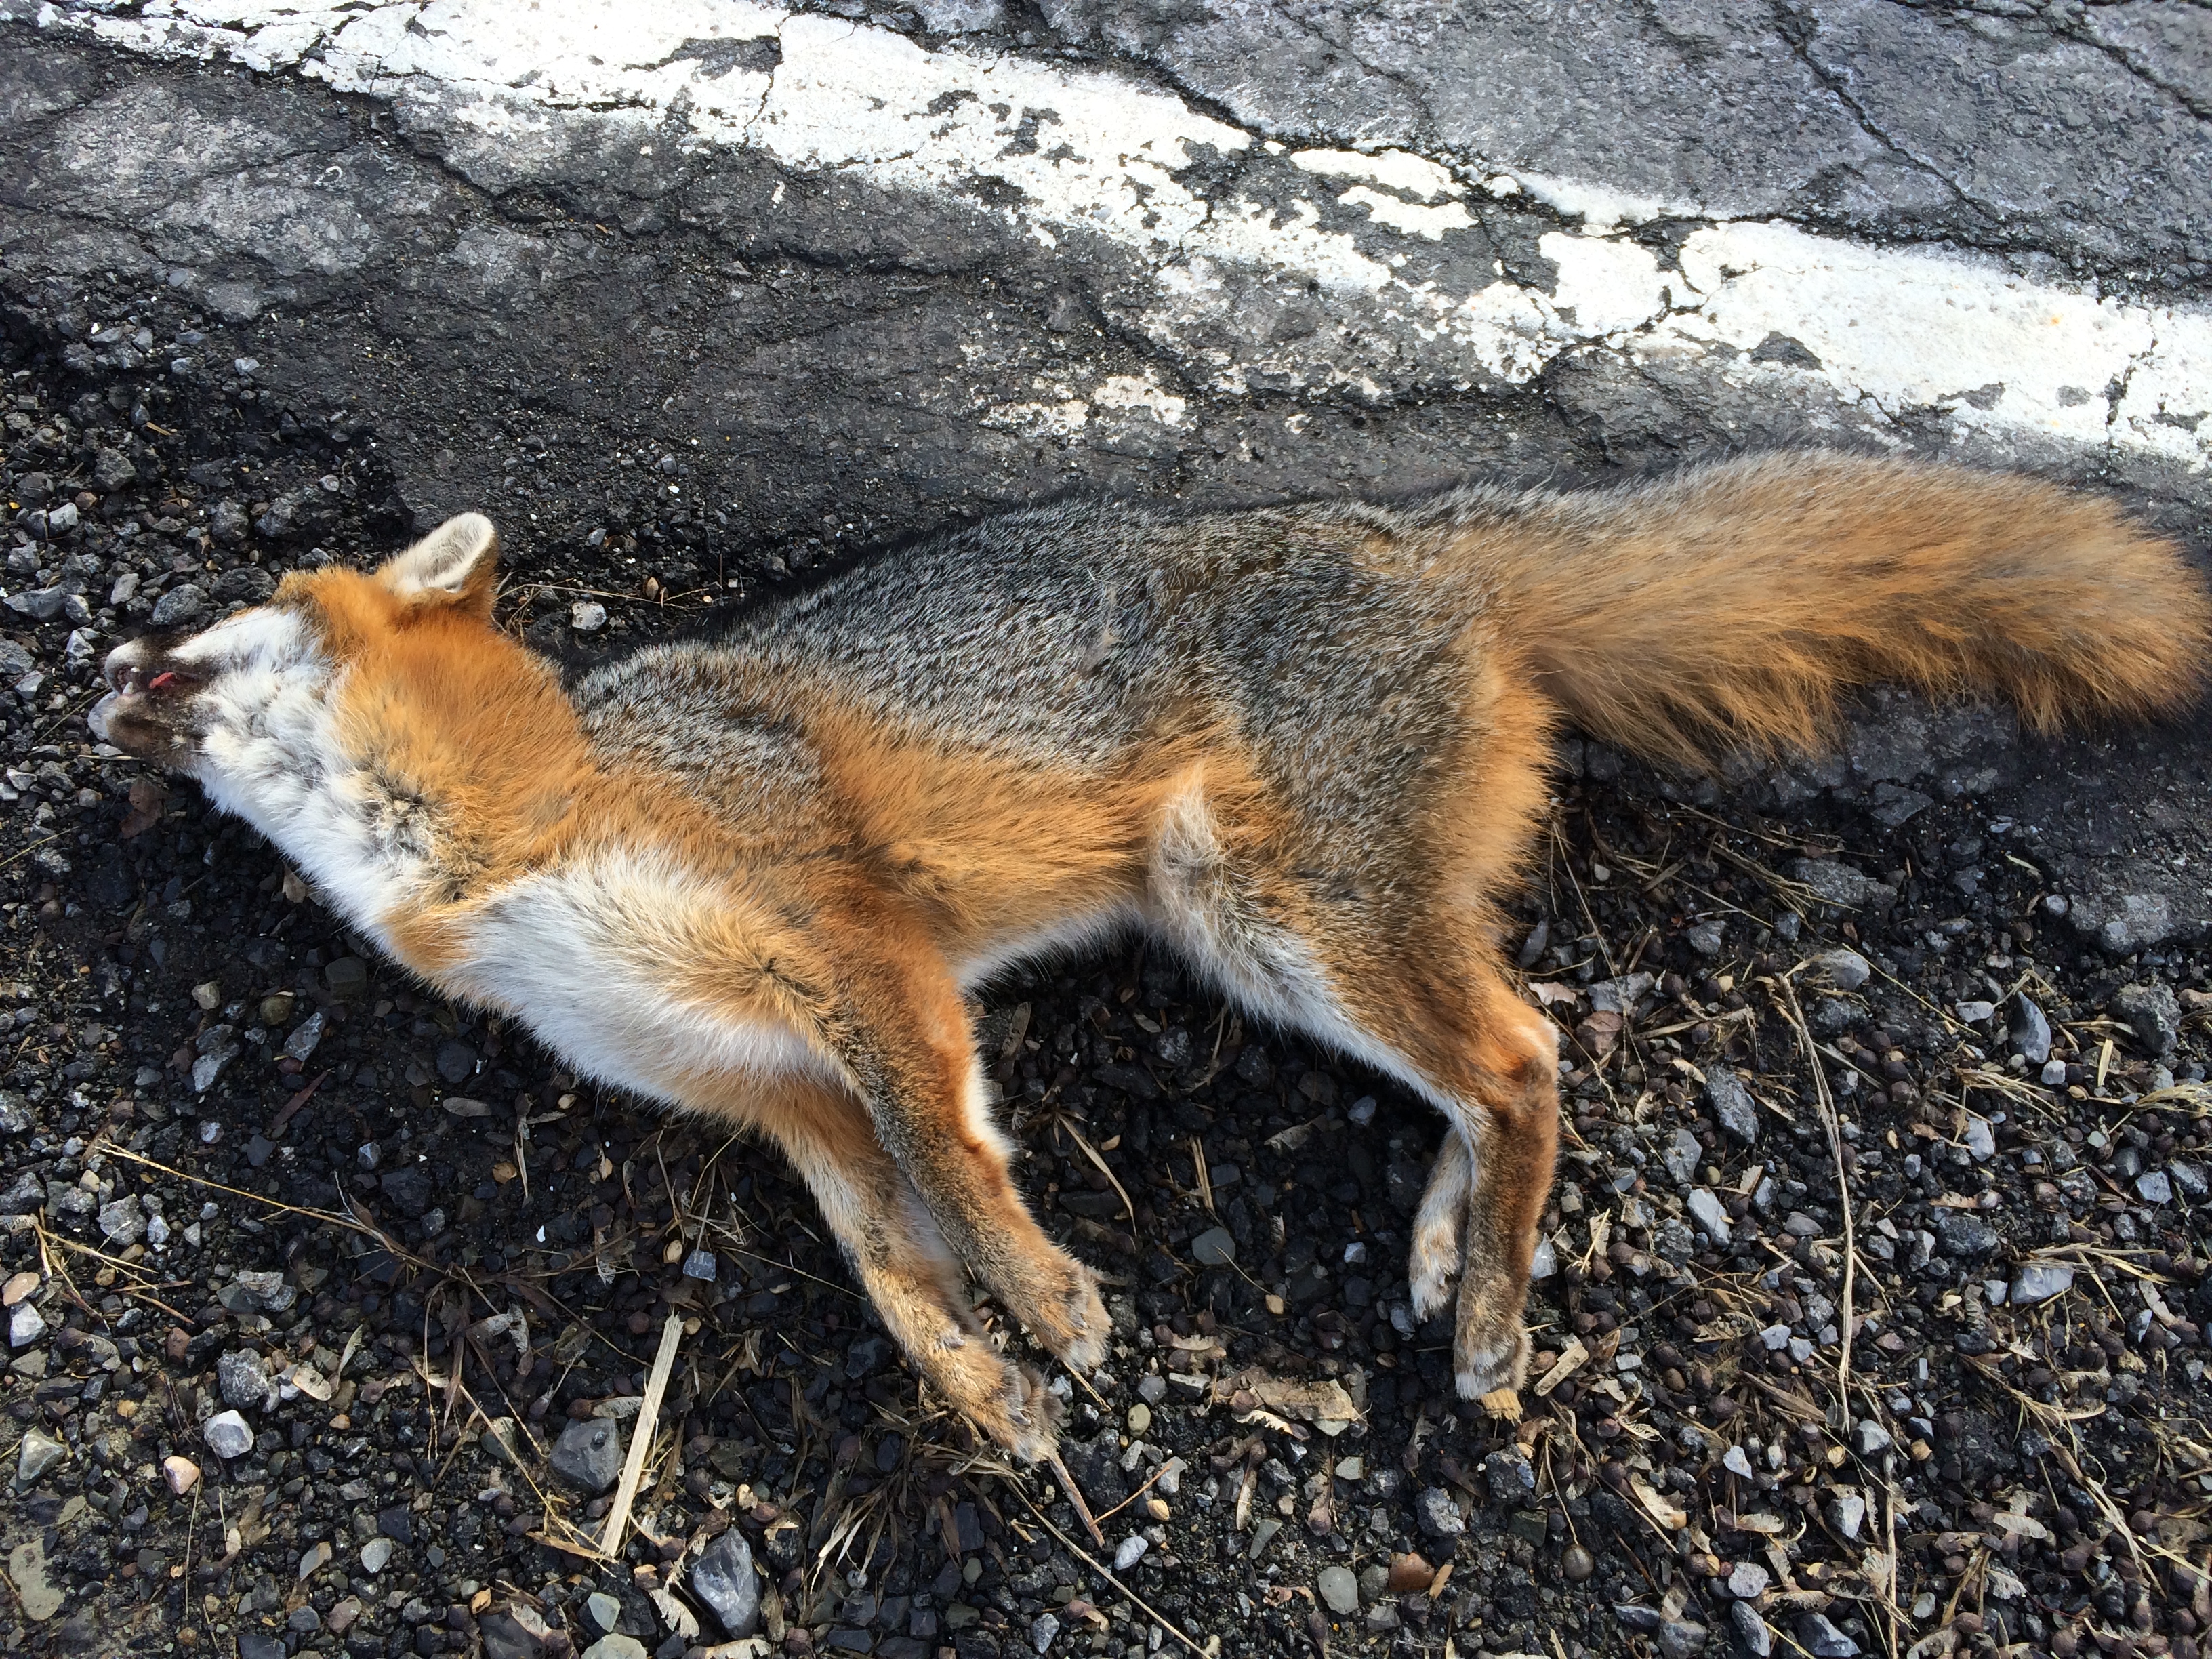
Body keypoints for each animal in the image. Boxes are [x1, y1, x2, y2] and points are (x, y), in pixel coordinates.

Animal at [91, 452, 2209, 1459]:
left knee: (1528, 1056)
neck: (497, 839)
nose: (101, 659)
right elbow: (881, 1259)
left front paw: (1051, 1306)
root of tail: (1421, 533)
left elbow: (953, 1161)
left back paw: (1492, 1309)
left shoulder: (858, 948)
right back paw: (1446, 1247)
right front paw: (981, 1389)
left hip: (1265, 904)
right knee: (1500, 1051)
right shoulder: (772, 1092)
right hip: (1257, 934)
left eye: (220, 621)